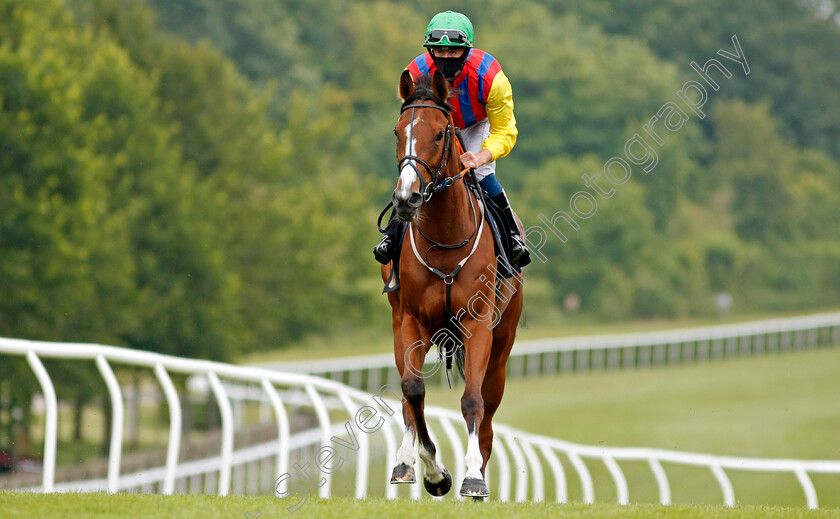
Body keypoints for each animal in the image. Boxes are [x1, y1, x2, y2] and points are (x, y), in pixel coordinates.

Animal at [382, 71, 524, 502]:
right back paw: (406, 462)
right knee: (409, 397)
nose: (406, 197)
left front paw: (472, 476)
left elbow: (473, 401)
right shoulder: (412, 320)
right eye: (398, 131)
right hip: (401, 325)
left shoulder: (477, 325)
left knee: (489, 411)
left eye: (440, 133)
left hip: (502, 345)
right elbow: (412, 390)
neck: (445, 241)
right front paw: (432, 471)